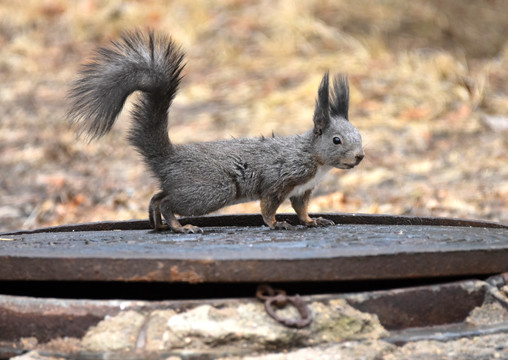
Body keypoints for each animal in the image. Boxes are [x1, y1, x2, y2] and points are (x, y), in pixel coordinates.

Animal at [67, 31, 364, 233]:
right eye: (336, 140)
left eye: (360, 136)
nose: (359, 157)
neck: (313, 157)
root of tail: (168, 156)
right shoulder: (280, 179)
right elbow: (268, 207)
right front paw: (276, 224)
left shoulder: (302, 190)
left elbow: (301, 209)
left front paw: (312, 220)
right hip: (213, 189)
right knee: (168, 202)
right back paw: (180, 226)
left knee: (159, 195)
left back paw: (159, 222)